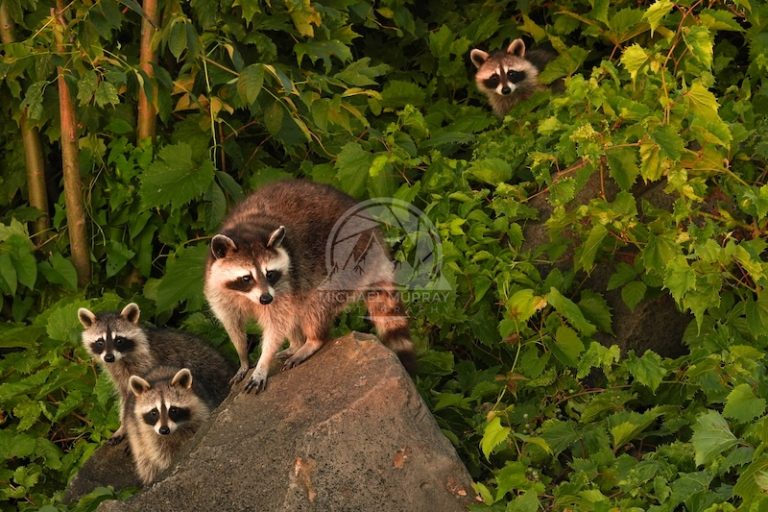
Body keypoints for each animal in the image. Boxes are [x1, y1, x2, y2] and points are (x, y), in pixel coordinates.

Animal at [78, 303, 234, 443]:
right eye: (100, 342)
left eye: (119, 340)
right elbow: (125, 396)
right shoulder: (118, 374)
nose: (108, 357)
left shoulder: (148, 364)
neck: (122, 358)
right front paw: (122, 426)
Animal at [204, 180, 416, 393]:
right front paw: (243, 359)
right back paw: (296, 344)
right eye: (246, 278)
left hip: (348, 260)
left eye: (269, 274)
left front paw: (263, 363)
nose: (266, 299)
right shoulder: (217, 287)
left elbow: (277, 324)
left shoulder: (284, 283)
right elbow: (232, 323)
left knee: (314, 304)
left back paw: (312, 341)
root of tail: (375, 234)